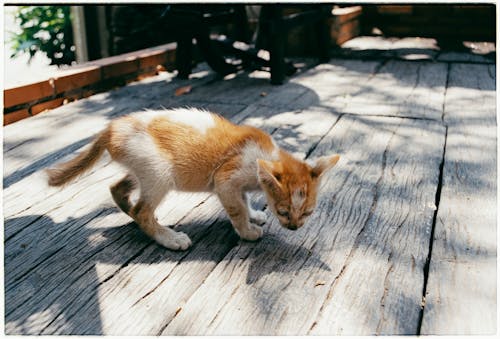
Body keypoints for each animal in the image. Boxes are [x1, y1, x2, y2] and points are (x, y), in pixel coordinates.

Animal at [47, 109, 340, 252]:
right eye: (284, 212)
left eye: (307, 213)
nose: (294, 228)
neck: (267, 155)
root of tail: (111, 128)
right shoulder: (226, 178)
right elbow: (236, 208)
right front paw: (247, 231)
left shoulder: (237, 183)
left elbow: (244, 199)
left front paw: (254, 214)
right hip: (159, 171)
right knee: (142, 211)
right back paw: (168, 238)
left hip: (141, 169)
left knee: (118, 189)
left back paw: (134, 216)